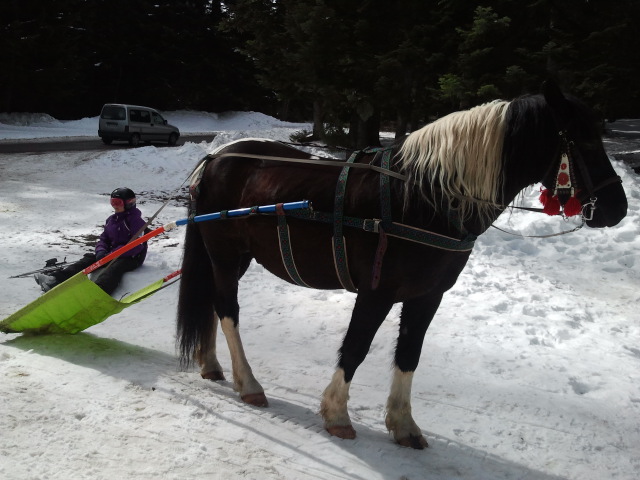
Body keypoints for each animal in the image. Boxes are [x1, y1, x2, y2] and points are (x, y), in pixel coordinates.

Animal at [175, 80, 624, 448]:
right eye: (583, 141)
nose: (616, 208)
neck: (427, 198)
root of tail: (216, 157)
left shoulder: (427, 296)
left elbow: (409, 353)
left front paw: (403, 425)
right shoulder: (375, 293)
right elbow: (356, 347)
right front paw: (337, 414)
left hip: (236, 258)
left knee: (213, 301)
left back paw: (211, 364)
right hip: (225, 254)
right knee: (228, 309)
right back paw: (248, 383)